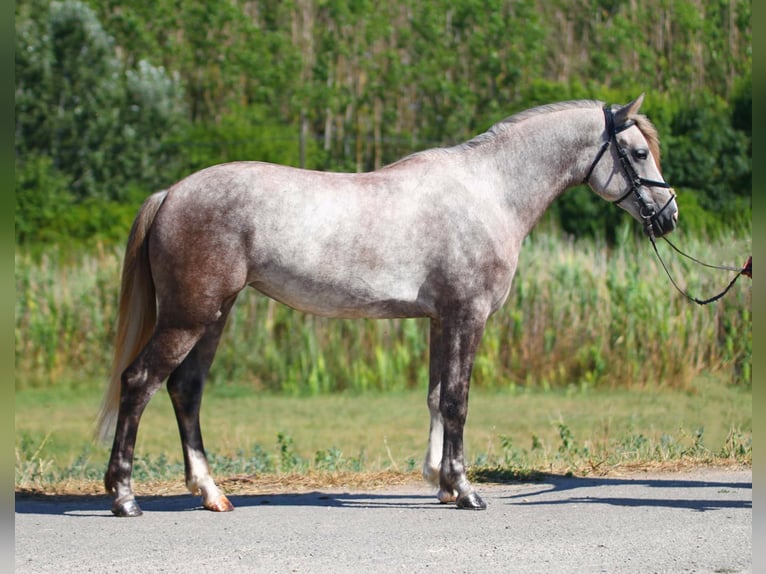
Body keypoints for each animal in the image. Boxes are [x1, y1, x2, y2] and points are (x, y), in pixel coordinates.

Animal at [96, 94, 680, 516]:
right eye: (638, 152)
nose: (669, 215)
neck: (489, 192)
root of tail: (171, 193)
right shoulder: (467, 316)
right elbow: (458, 401)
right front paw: (466, 490)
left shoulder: (441, 320)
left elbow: (436, 397)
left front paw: (441, 482)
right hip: (189, 318)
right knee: (140, 383)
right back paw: (124, 497)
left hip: (213, 317)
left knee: (185, 391)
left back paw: (212, 493)